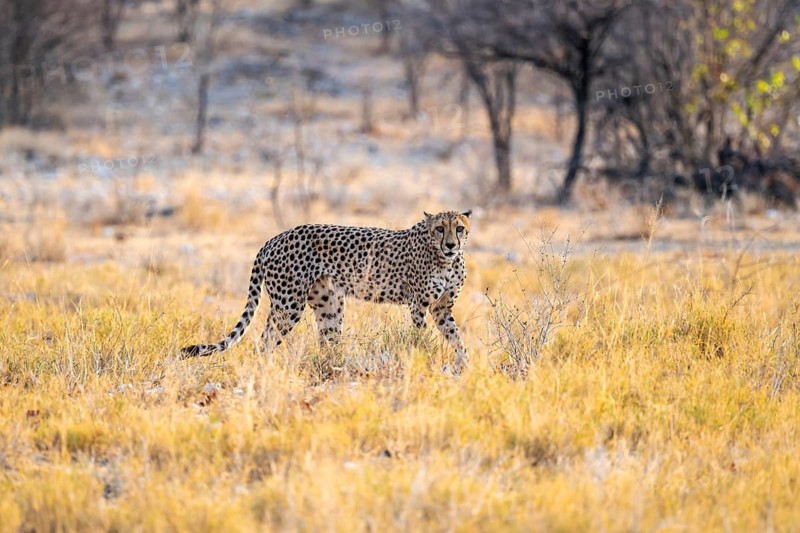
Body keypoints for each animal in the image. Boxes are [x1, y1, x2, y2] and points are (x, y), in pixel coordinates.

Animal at [181, 210, 472, 369]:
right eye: (439, 229)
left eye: (459, 228)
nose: (451, 245)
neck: (445, 259)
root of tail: (273, 238)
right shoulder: (418, 305)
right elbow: (421, 338)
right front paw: (427, 358)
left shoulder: (442, 308)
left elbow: (457, 338)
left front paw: (465, 365)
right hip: (288, 305)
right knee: (266, 338)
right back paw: (268, 368)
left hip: (328, 304)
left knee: (326, 339)